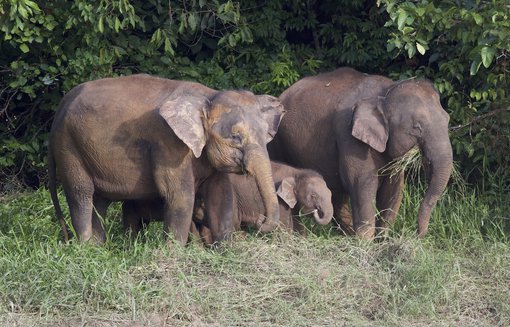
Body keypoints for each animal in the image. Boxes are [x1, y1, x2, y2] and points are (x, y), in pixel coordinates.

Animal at [48, 73, 284, 245]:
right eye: (236, 136)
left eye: (265, 133)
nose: (260, 220)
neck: (208, 97)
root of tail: (61, 106)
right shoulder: (168, 143)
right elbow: (179, 195)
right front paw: (175, 254)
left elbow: (221, 194)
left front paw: (226, 250)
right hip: (68, 147)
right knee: (81, 195)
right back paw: (86, 248)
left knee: (99, 201)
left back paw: (99, 248)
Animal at [121, 163, 332, 245]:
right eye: (313, 196)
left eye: (330, 194)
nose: (316, 211)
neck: (297, 172)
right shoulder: (279, 201)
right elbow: (285, 227)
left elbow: (296, 225)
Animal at [268, 67, 452, 241]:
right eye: (417, 127)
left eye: (447, 120)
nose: (416, 235)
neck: (385, 93)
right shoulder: (350, 137)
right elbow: (362, 184)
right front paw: (366, 243)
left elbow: (393, 188)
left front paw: (382, 241)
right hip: (278, 141)